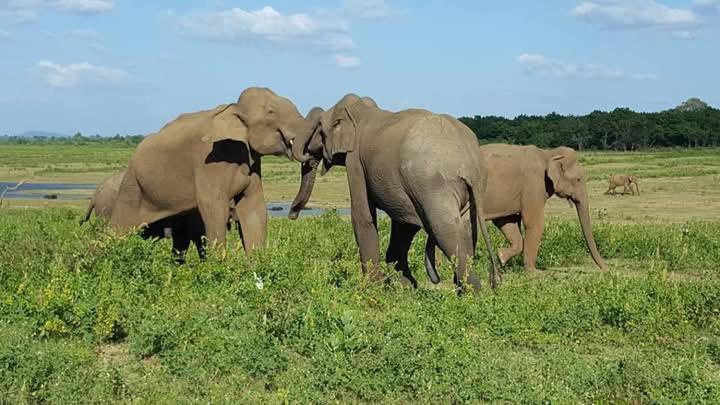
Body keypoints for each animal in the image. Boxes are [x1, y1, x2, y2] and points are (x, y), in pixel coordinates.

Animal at [111, 87, 314, 252]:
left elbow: (254, 208)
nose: (293, 214)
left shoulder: (253, 162)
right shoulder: (208, 163)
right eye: (271, 112)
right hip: (133, 185)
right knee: (119, 228)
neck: (234, 109)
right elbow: (214, 208)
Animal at [290, 94, 498, 294]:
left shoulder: (355, 161)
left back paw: (472, 294)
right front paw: (403, 286)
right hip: (471, 188)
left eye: (318, 128)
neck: (360, 110)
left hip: (434, 185)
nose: (292, 214)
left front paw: (373, 287)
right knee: (465, 229)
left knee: (444, 228)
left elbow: (362, 216)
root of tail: (469, 162)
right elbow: (404, 222)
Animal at [478, 144, 608, 274]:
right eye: (578, 179)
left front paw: (501, 257)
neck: (548, 153)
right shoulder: (534, 183)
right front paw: (535, 272)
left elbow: (507, 221)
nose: (607, 270)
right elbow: (535, 223)